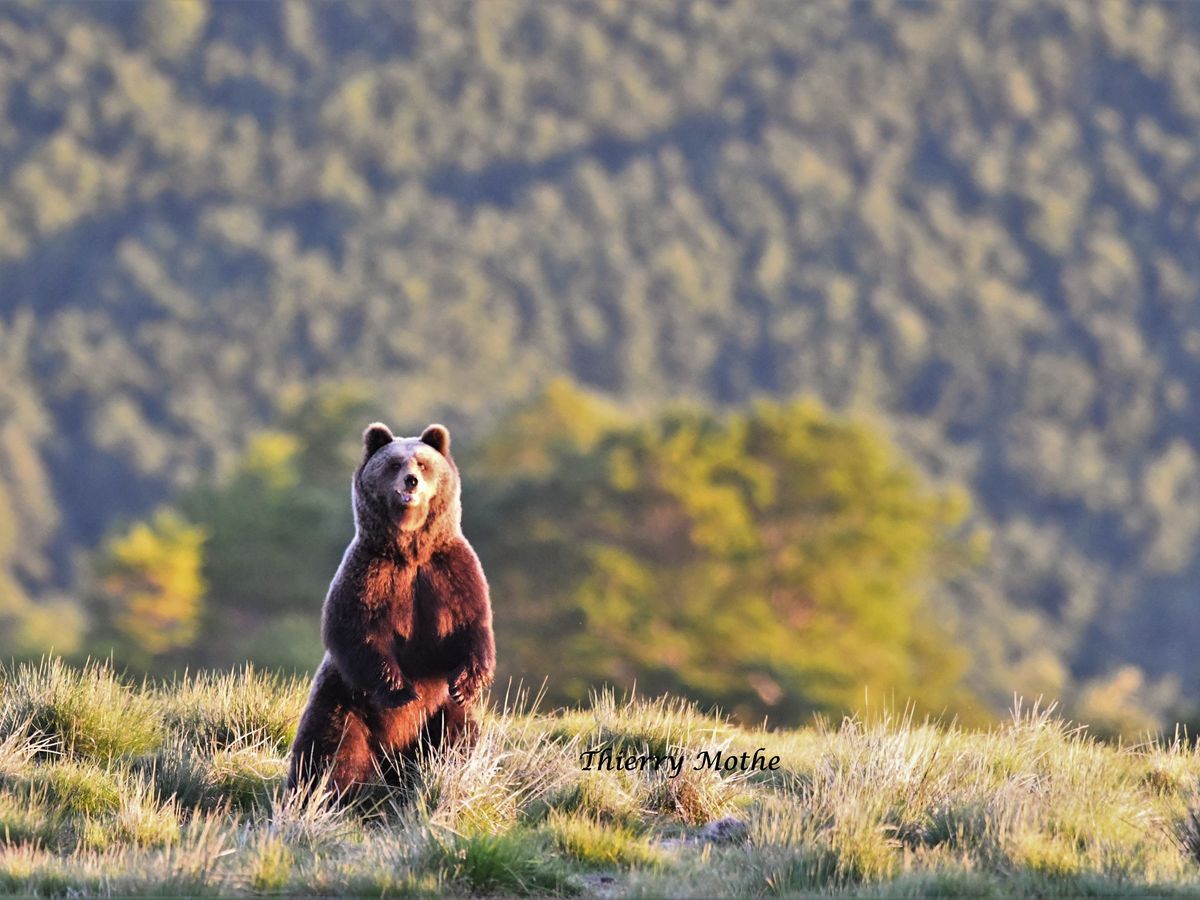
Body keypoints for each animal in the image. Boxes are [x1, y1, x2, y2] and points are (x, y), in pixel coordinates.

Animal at [288, 422, 494, 796]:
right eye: (394, 463)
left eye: (423, 464)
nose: (410, 480)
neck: (410, 551)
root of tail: (390, 755)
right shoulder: (372, 574)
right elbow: (355, 632)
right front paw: (402, 691)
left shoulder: (448, 572)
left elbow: (472, 626)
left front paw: (467, 681)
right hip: (342, 704)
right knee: (329, 752)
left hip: (437, 715)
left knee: (455, 738)